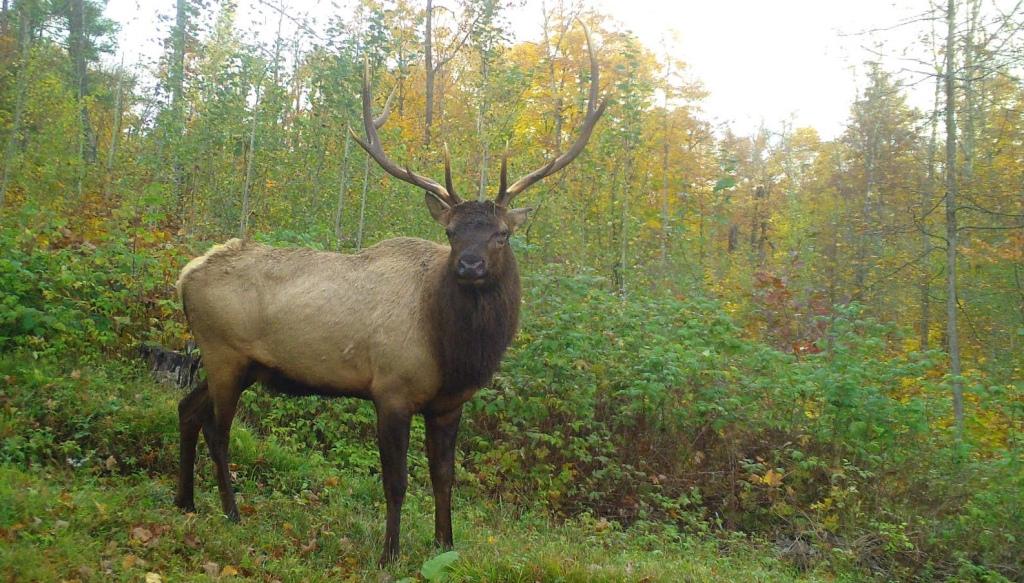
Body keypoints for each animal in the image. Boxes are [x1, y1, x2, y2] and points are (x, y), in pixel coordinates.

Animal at [173, 22, 606, 566]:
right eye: (451, 233)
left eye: (502, 235)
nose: (469, 265)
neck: (453, 351)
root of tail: (185, 276)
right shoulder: (392, 390)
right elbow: (396, 482)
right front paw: (389, 555)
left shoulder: (449, 403)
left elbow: (444, 478)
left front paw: (445, 545)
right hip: (224, 351)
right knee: (218, 427)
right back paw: (229, 512)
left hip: (241, 363)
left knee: (187, 409)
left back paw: (185, 502)